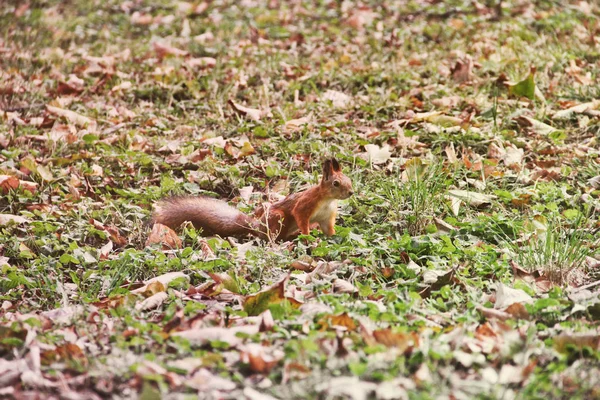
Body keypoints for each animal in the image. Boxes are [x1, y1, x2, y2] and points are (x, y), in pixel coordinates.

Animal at [152, 159, 354, 241]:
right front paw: (308, 236)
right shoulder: (305, 204)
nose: (351, 192)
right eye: (336, 183)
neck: (327, 200)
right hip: (277, 217)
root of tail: (256, 225)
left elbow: (329, 229)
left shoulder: (326, 217)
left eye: (349, 179)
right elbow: (300, 216)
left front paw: (335, 236)